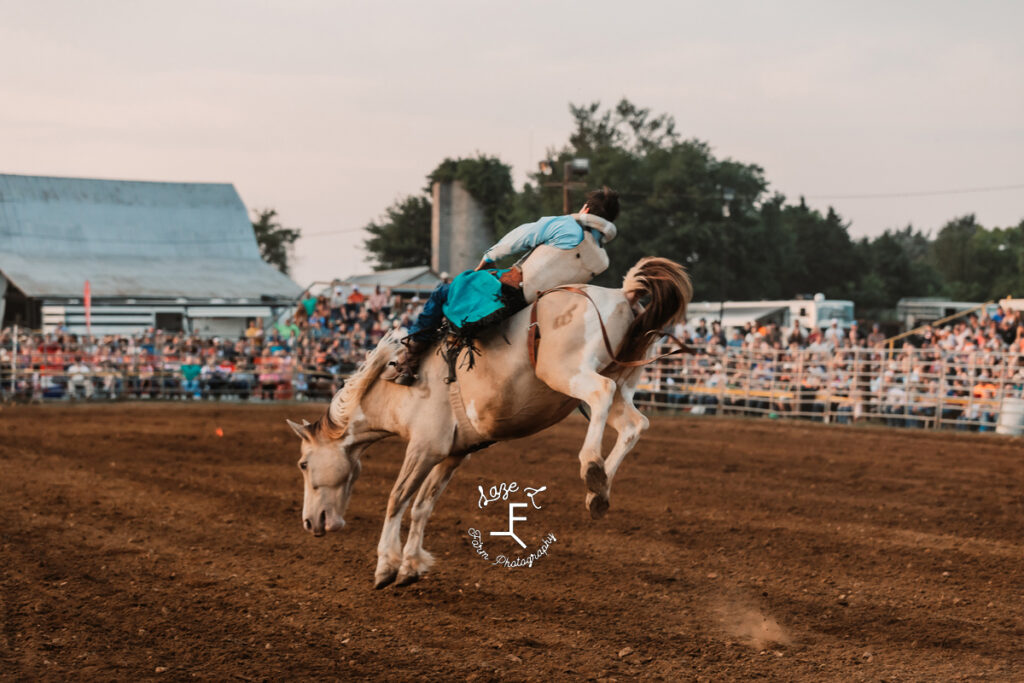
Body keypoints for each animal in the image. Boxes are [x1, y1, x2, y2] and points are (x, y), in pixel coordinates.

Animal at [284, 255, 692, 589]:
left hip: (568, 373)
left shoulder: (423, 447)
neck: (397, 386)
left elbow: (397, 499)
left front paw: (386, 566)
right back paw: (599, 492)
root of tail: (623, 294)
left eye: (303, 464)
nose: (308, 523)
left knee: (601, 394)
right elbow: (423, 505)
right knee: (634, 423)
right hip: (622, 379)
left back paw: (591, 466)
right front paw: (411, 566)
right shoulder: (452, 454)